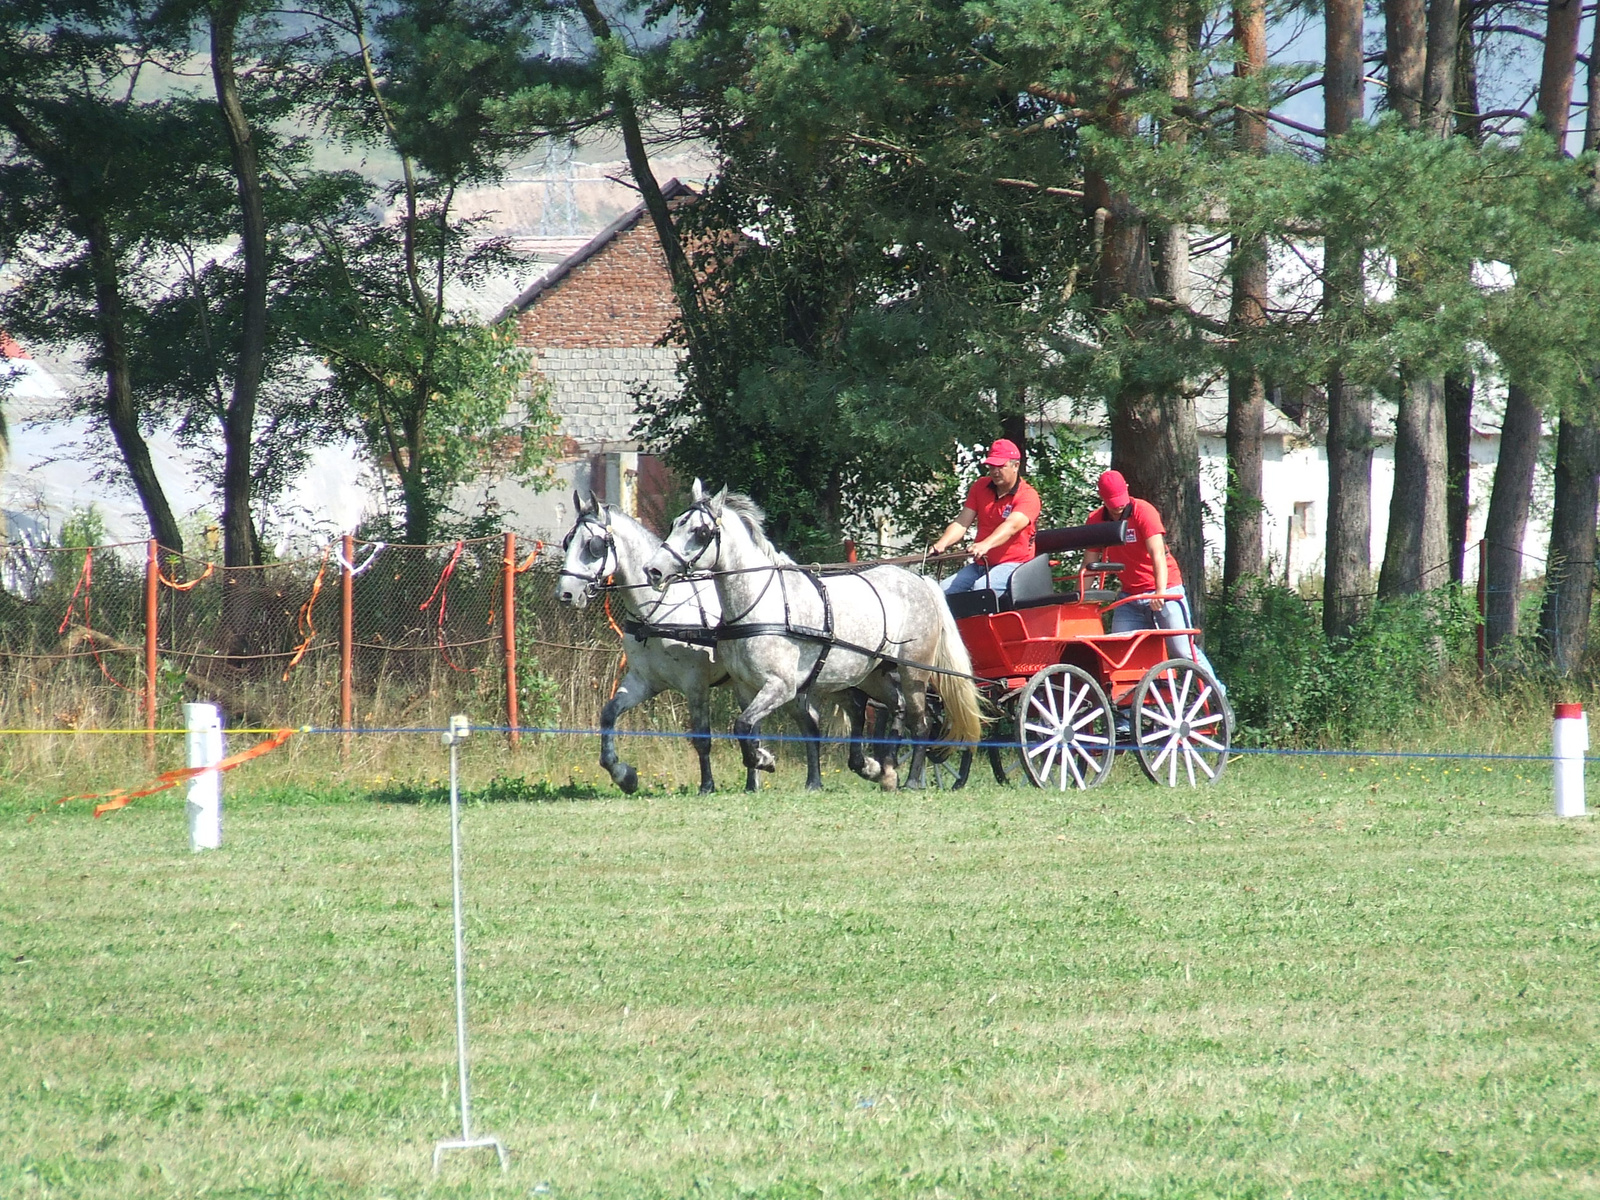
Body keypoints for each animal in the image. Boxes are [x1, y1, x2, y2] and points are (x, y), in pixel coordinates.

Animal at [553, 492, 752, 793]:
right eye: (567, 541)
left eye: (593, 545)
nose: (565, 594)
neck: (658, 608)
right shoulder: (644, 681)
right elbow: (608, 715)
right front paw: (624, 775)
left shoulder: (695, 684)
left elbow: (701, 737)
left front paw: (707, 785)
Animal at [646, 483, 972, 793]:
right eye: (676, 523)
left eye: (700, 531)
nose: (653, 571)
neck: (761, 605)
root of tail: (919, 580)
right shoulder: (745, 687)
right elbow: (748, 728)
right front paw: (759, 768)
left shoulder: (781, 685)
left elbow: (743, 725)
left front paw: (764, 760)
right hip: (873, 674)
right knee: (896, 707)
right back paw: (885, 770)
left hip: (913, 671)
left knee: (921, 723)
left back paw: (912, 780)